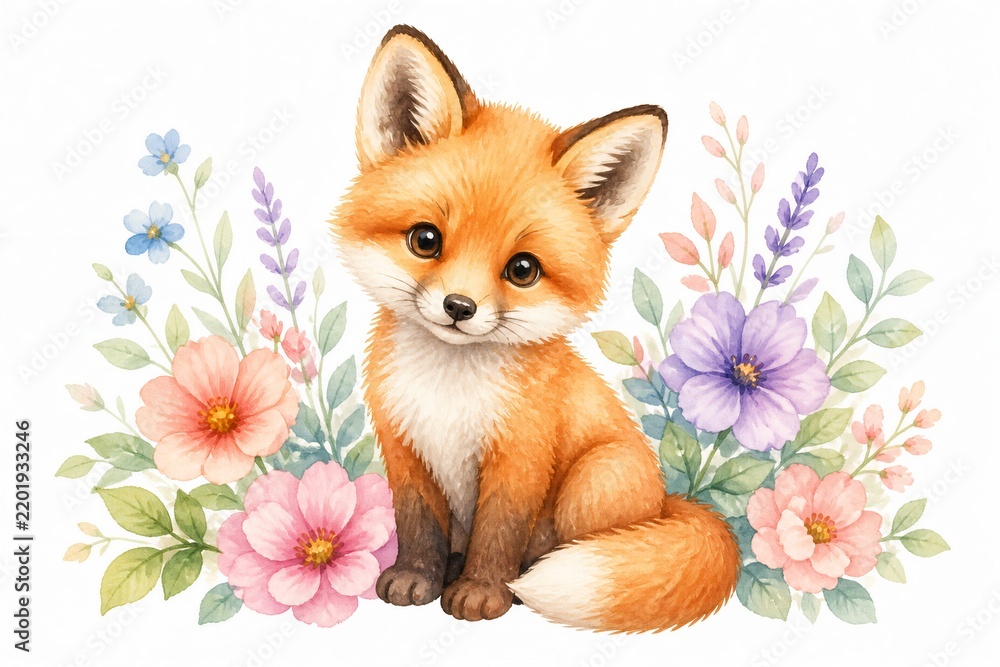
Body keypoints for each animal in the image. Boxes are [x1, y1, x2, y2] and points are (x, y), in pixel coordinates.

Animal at [331, 25, 740, 632]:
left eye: (523, 270)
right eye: (425, 240)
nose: (459, 306)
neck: (449, 391)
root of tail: (669, 503)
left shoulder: (520, 457)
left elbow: (498, 535)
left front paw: (482, 592)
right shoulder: (405, 450)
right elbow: (420, 527)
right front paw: (416, 578)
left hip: (595, 480)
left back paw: (525, 582)